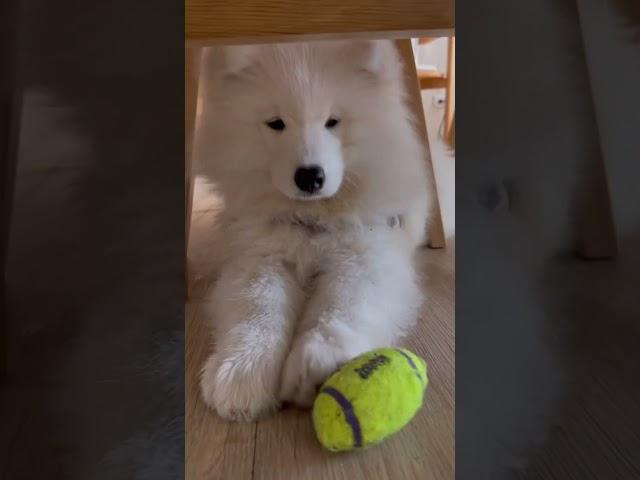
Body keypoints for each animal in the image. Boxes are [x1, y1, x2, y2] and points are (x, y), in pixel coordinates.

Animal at [198, 39, 432, 420]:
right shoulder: (260, 257)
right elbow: (256, 307)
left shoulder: (365, 255)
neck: (312, 220)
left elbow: (343, 304)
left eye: (332, 122)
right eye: (276, 123)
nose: (309, 176)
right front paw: (243, 371)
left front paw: (318, 362)